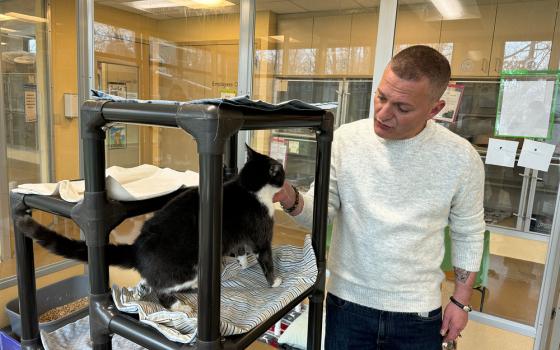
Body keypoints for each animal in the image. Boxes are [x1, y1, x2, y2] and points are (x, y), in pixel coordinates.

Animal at [15, 145, 286, 312]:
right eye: (280, 171)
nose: (285, 172)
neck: (248, 187)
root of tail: (136, 247)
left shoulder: (237, 236)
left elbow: (240, 250)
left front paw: (244, 263)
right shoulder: (261, 233)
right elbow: (265, 257)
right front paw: (274, 282)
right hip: (188, 267)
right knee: (160, 289)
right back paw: (178, 304)